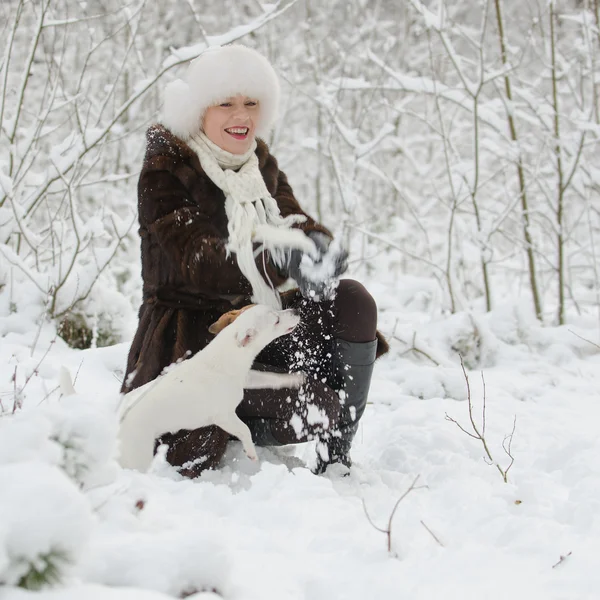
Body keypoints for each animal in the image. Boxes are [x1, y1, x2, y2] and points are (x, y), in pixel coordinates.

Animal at [115, 308, 302, 472]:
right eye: (276, 320)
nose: (296, 310)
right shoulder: (225, 417)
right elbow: (245, 430)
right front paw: (251, 454)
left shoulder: (247, 377)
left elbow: (270, 377)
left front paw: (296, 378)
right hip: (138, 454)